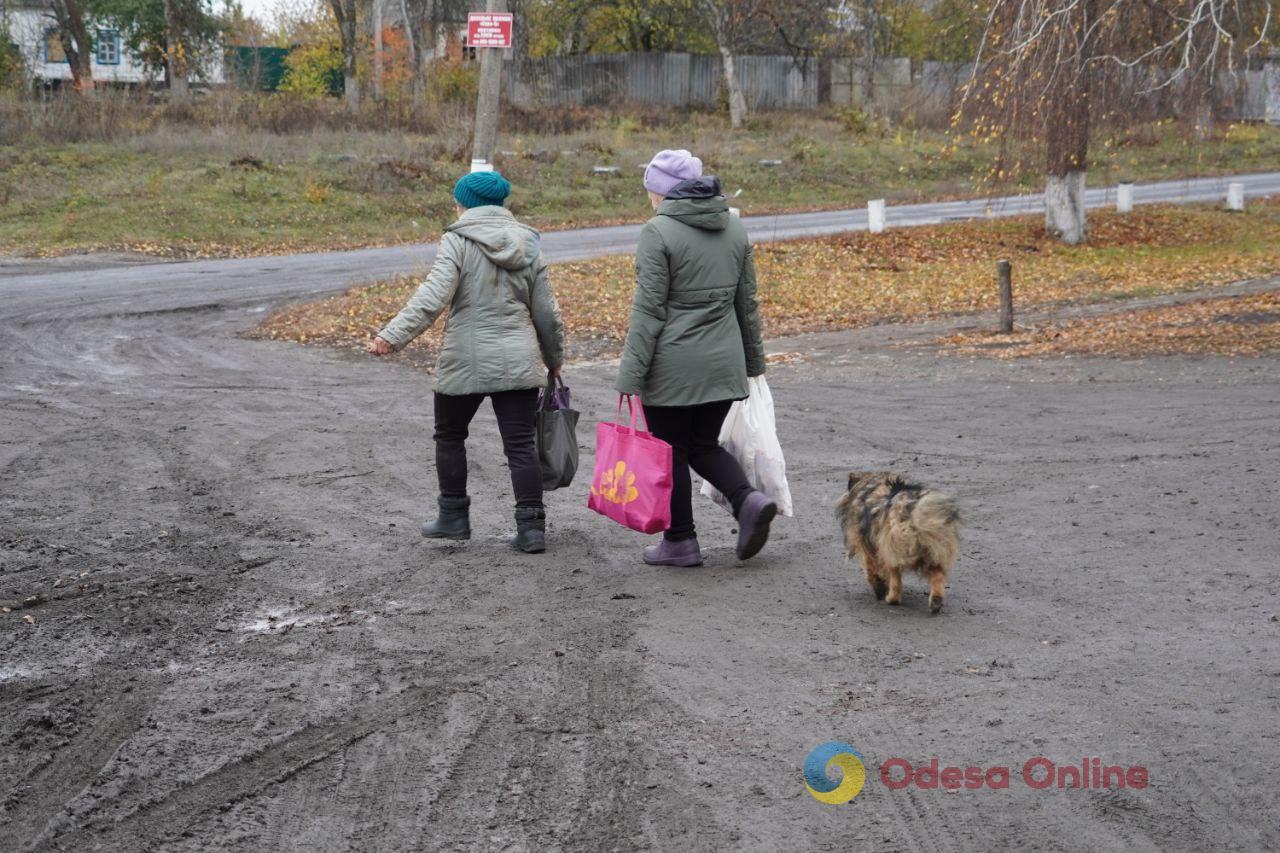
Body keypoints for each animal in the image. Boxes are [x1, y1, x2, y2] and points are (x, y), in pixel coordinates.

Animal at [834, 471, 957, 612]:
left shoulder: (868, 547)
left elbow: (872, 570)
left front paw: (879, 587)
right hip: (935, 550)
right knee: (937, 575)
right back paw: (936, 601)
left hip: (890, 549)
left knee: (895, 579)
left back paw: (891, 599)